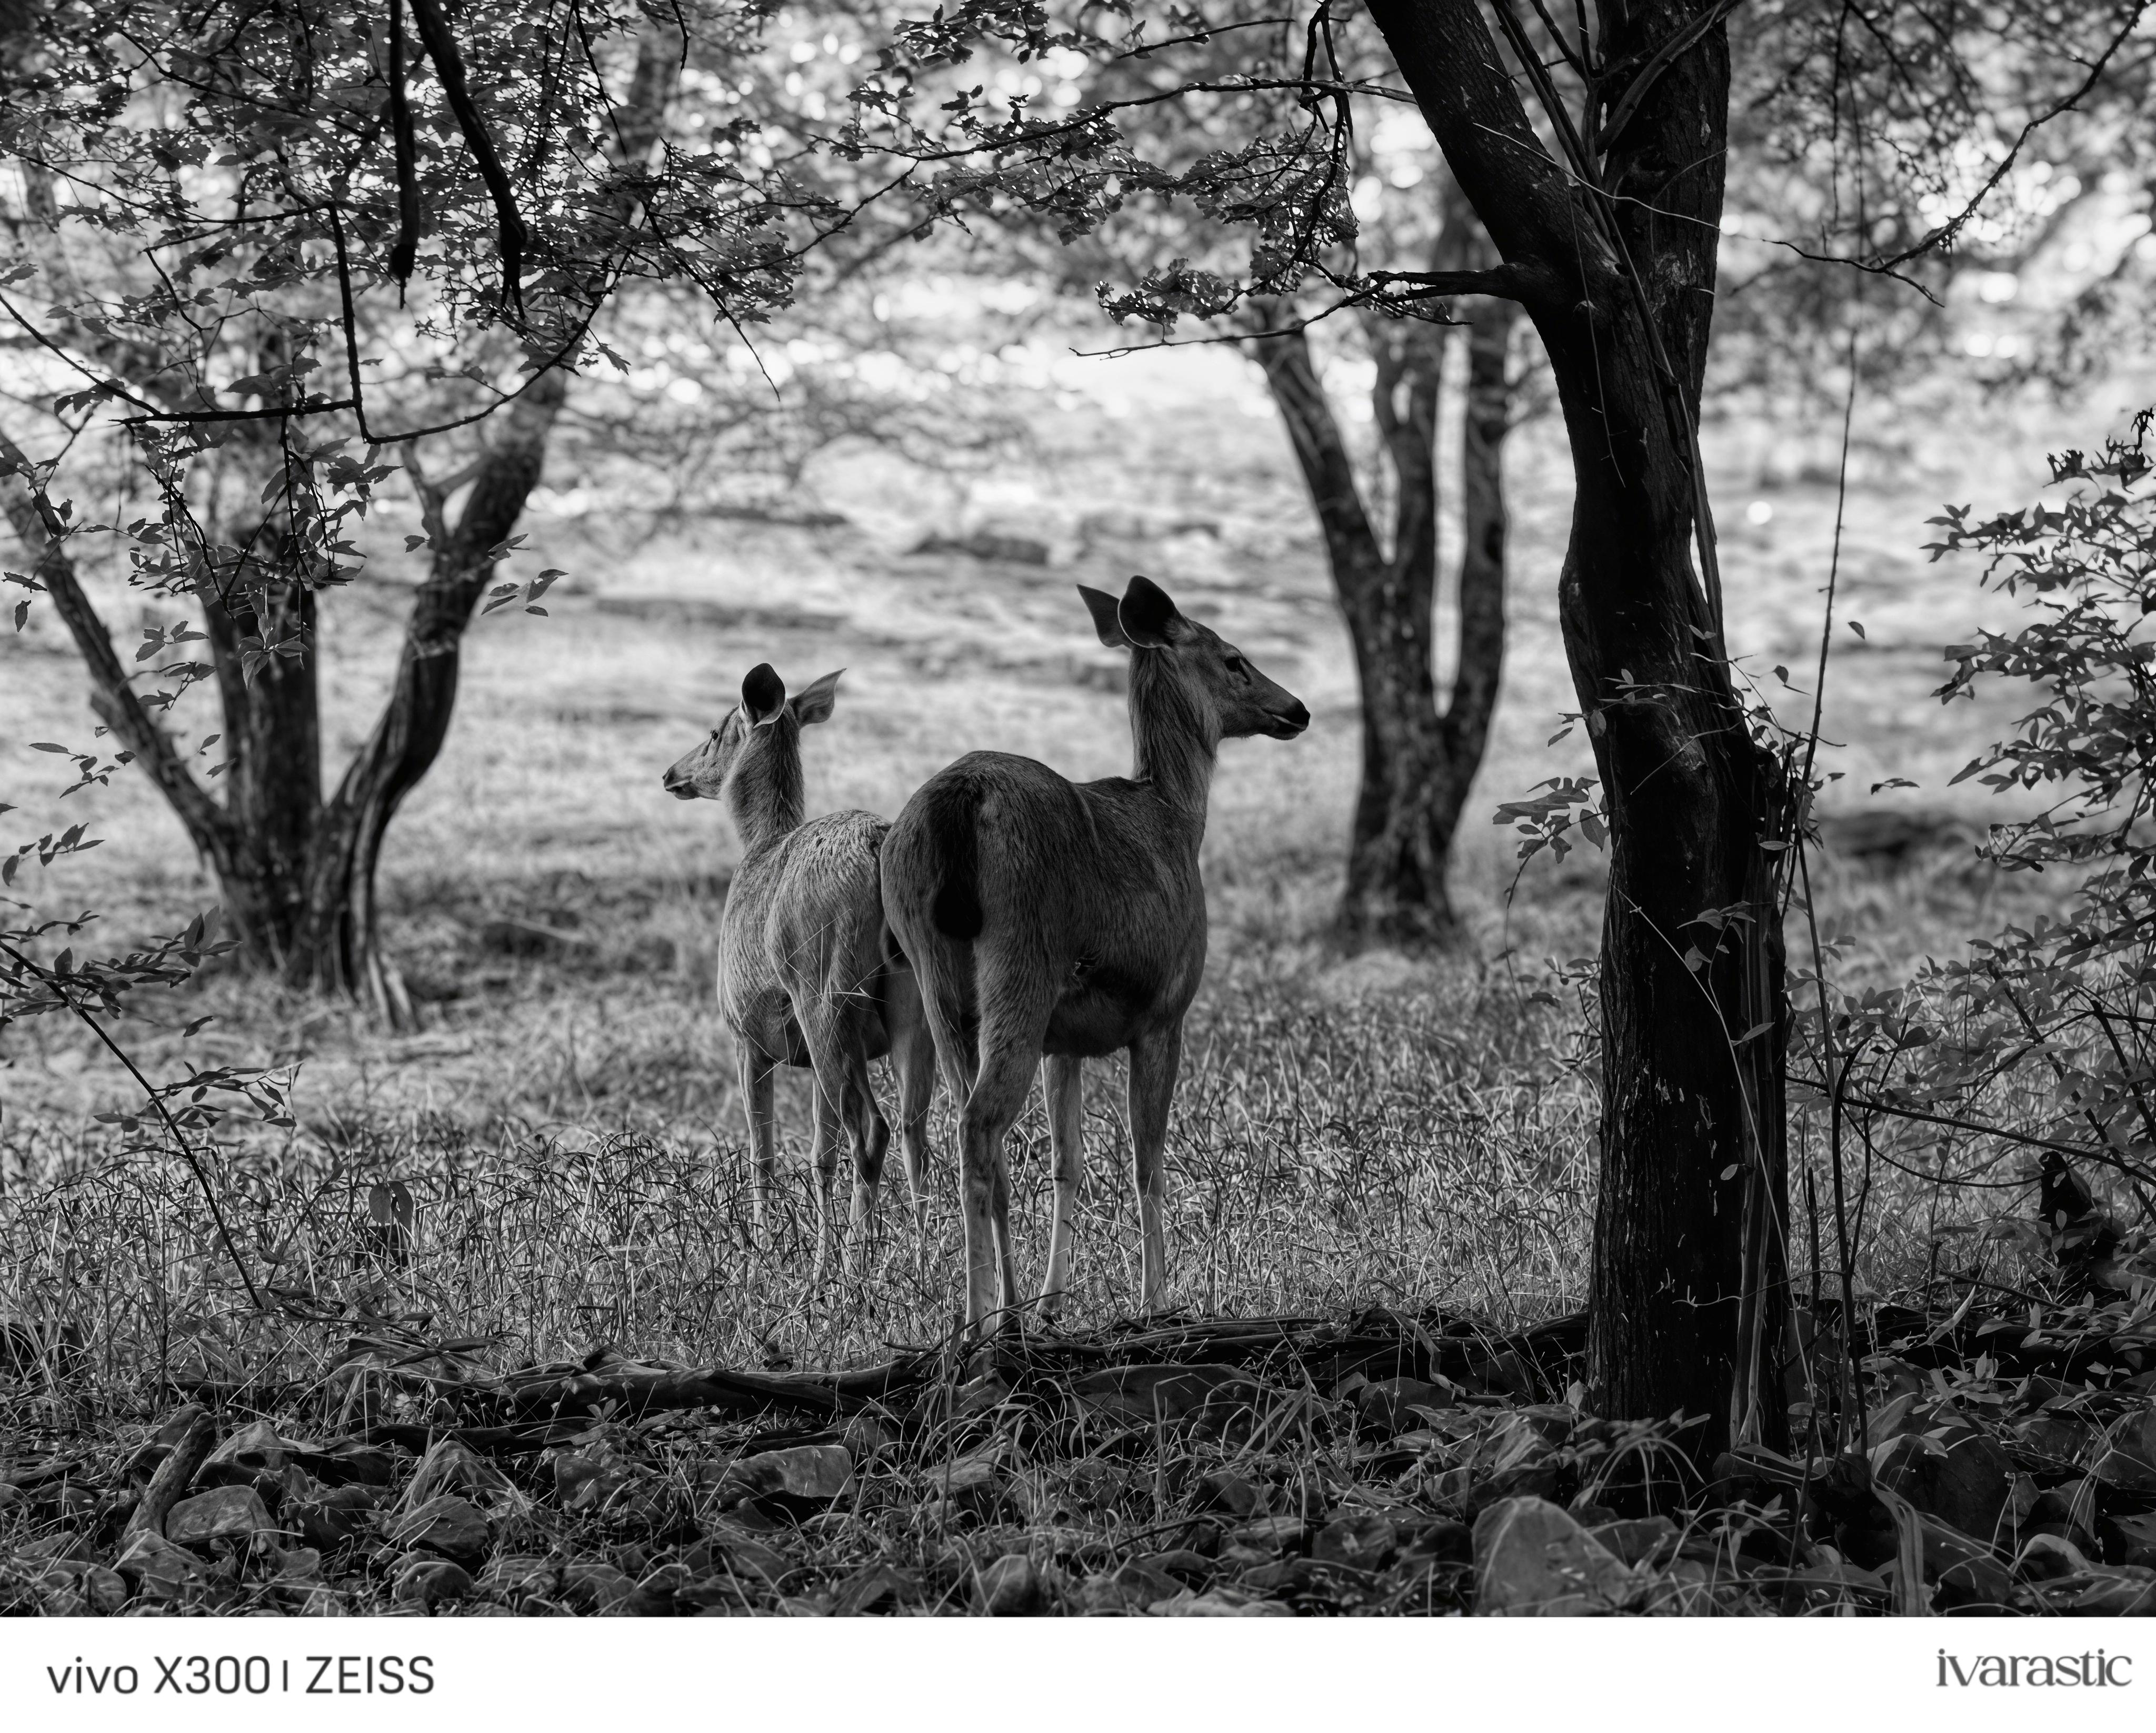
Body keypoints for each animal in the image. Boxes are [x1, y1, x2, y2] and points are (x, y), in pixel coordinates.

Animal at [662, 664, 936, 1274]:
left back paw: (840, 1272)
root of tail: (878, 846)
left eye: (714, 732)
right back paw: (923, 1264)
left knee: (863, 1135)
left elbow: (761, 1154)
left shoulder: (747, 1036)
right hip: (912, 1005)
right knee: (916, 1131)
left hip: (824, 995)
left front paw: (762, 1255)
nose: (670, 772)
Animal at [881, 574, 1309, 1331]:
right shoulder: (1166, 1012)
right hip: (1025, 954)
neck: (1177, 819)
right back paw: (983, 1323)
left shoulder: (1067, 1041)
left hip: (932, 967)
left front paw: (1056, 1301)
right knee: (980, 1125)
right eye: (1235, 658)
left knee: (970, 1130)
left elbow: (1068, 1161)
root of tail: (958, 799)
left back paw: (1004, 1313)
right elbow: (1148, 1159)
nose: (1297, 708)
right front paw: (1157, 1300)